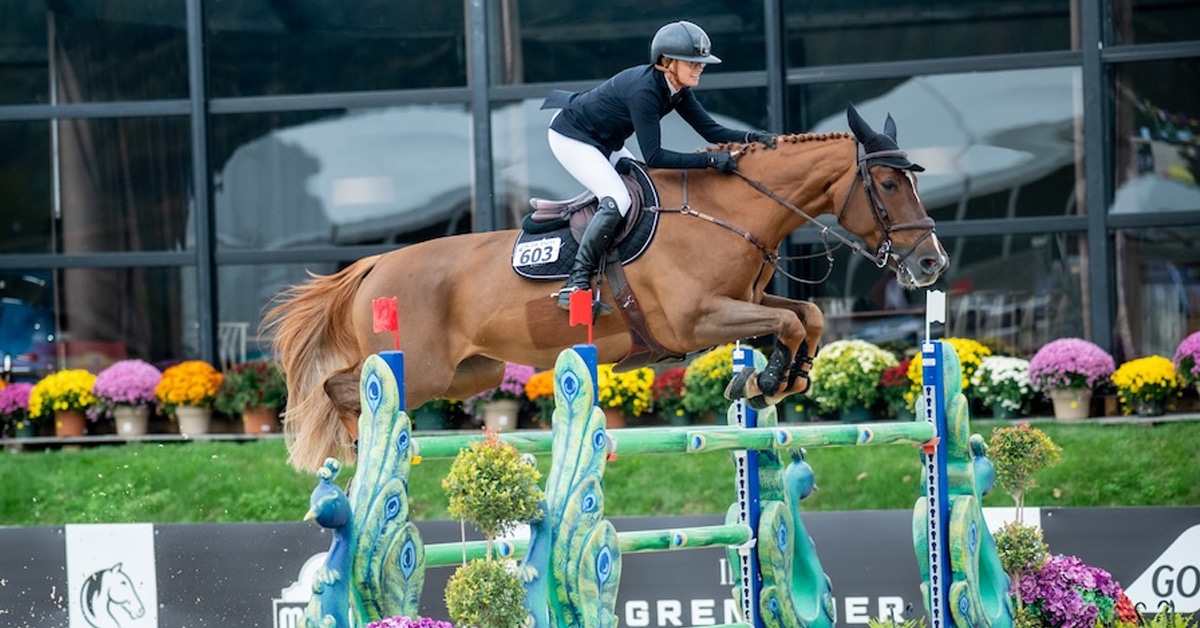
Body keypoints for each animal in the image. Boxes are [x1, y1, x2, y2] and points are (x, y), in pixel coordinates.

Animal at [265, 104, 949, 473]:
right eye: (889, 185)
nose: (931, 264)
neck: (727, 212)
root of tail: (374, 267)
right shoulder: (697, 320)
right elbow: (786, 321)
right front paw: (766, 379)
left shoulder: (742, 304)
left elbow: (805, 314)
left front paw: (780, 378)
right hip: (421, 367)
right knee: (340, 388)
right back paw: (361, 450)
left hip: (472, 372)